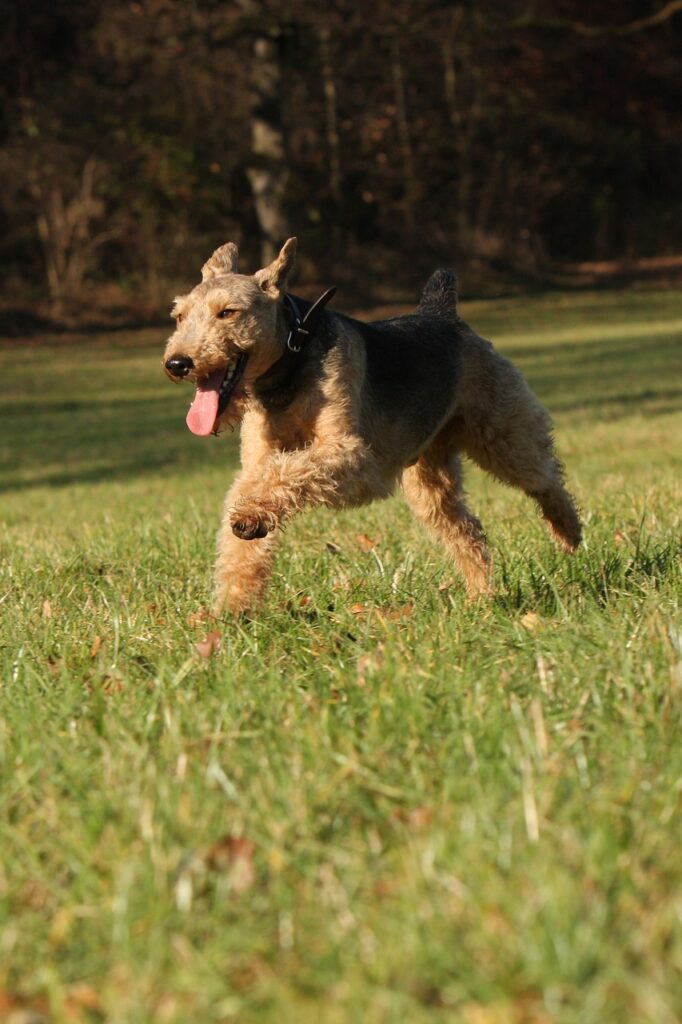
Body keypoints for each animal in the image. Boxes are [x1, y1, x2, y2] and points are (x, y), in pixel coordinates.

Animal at [163, 235, 577, 610]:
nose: (177, 363)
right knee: (468, 531)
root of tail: (442, 313)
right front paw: (232, 610)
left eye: (227, 312)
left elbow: (290, 472)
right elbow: (245, 528)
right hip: (429, 479)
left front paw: (251, 516)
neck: (289, 366)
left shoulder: (354, 457)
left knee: (546, 479)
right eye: (179, 317)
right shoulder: (255, 465)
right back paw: (481, 597)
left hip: (502, 433)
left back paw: (568, 533)